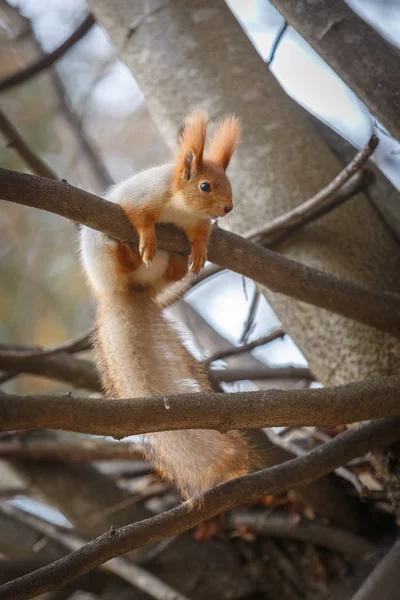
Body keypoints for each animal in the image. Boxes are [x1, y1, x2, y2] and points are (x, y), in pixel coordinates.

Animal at [79, 110, 252, 500]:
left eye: (228, 182)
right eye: (205, 186)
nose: (229, 208)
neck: (180, 209)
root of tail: (125, 292)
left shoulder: (199, 224)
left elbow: (202, 236)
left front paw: (199, 251)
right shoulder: (140, 199)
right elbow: (140, 217)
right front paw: (146, 238)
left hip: (158, 275)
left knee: (168, 274)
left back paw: (176, 264)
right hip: (101, 253)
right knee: (120, 259)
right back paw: (128, 252)